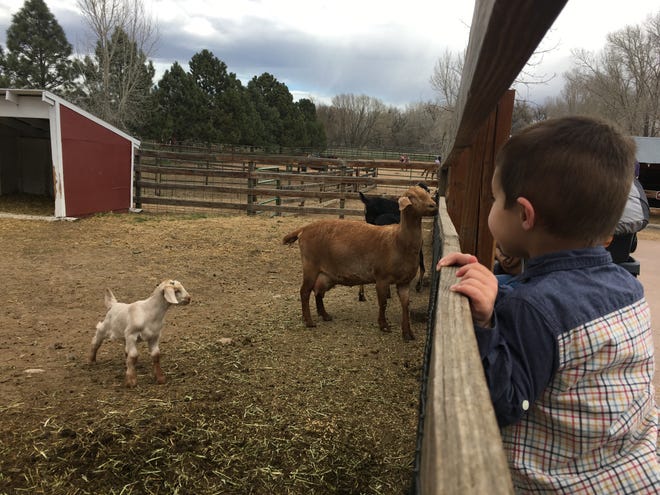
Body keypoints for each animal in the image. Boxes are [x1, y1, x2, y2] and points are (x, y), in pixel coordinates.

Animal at [282, 185, 438, 341]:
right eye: (412, 197)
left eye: (427, 193)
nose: (434, 206)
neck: (398, 240)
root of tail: (303, 229)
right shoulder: (382, 279)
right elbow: (383, 303)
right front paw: (384, 325)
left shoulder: (404, 282)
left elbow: (406, 306)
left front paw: (408, 333)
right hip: (310, 266)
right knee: (305, 291)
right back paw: (309, 321)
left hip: (326, 275)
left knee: (318, 291)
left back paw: (325, 315)